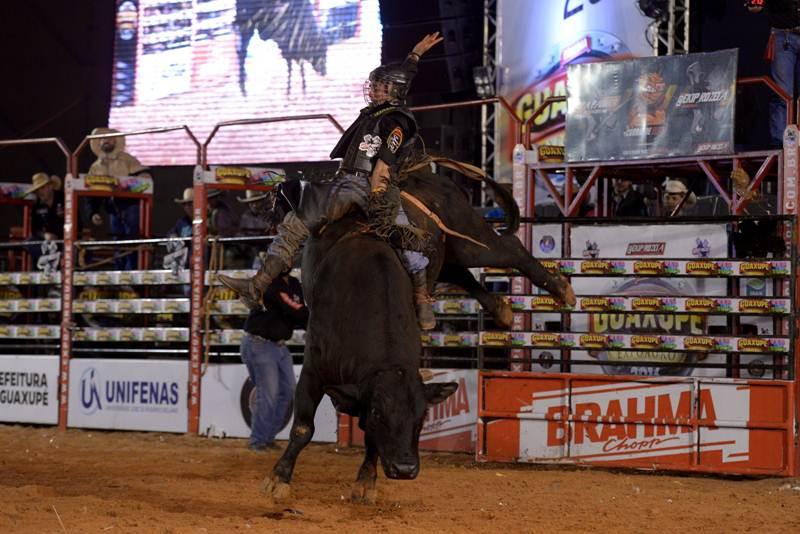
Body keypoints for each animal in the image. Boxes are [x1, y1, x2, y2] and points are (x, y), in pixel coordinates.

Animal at [260, 171, 568, 502]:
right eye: (379, 413)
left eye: (422, 417)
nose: (405, 468)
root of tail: (424, 174)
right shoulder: (313, 369)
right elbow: (303, 428)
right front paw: (278, 479)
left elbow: (370, 440)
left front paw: (366, 481)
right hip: (452, 251)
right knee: (466, 269)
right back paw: (505, 309)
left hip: (466, 237)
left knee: (509, 249)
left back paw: (560, 290)